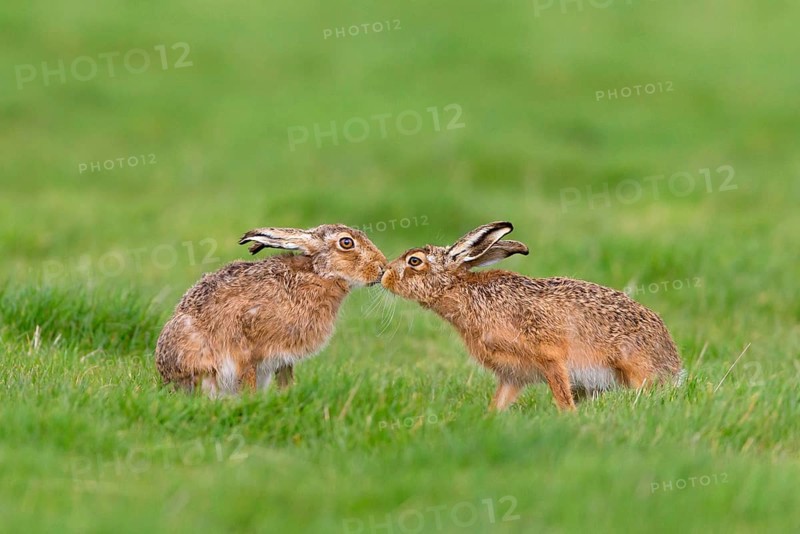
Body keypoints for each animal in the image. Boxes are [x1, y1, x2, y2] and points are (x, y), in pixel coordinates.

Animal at [155, 224, 386, 397]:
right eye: (346, 242)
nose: (382, 267)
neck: (317, 274)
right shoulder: (248, 345)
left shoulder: (283, 357)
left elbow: (285, 378)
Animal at [380, 221, 684, 411]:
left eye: (414, 261)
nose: (384, 275)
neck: (464, 293)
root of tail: (673, 361)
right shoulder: (512, 375)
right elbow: (499, 402)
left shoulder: (550, 357)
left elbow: (562, 398)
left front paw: (569, 419)